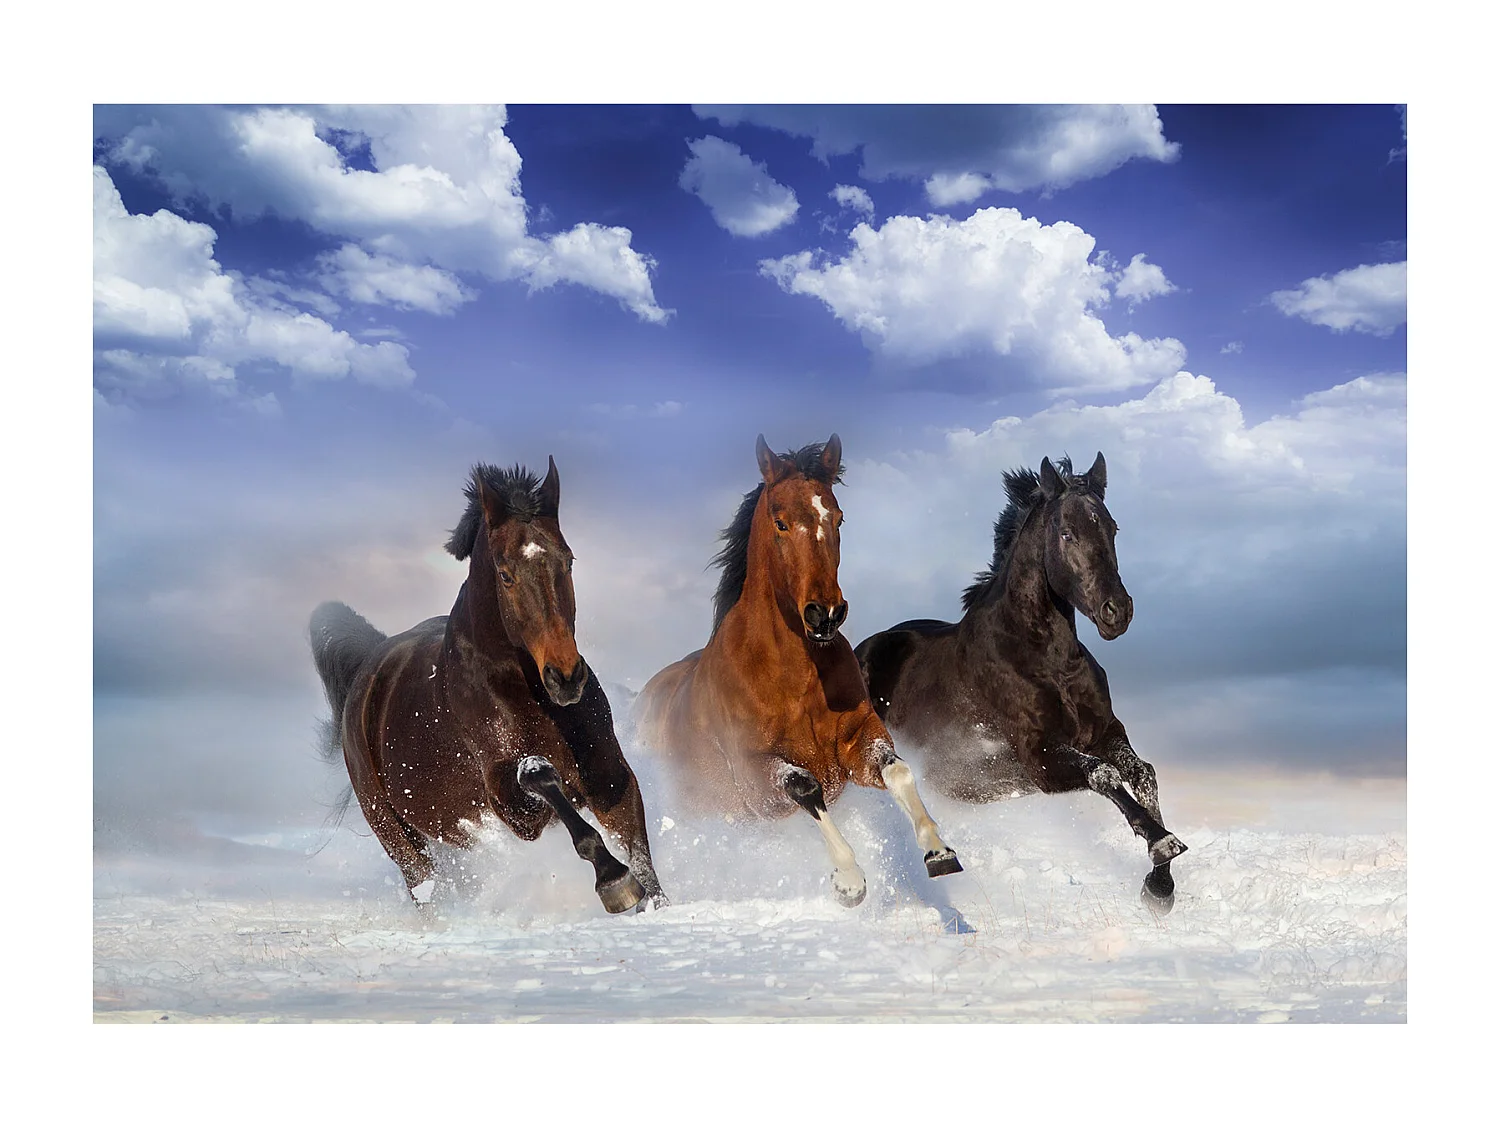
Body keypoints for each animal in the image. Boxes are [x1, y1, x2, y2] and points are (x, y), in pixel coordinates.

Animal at [308, 458, 666, 915]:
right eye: (505, 574)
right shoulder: (512, 807)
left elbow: (640, 854)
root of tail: (367, 673)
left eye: (568, 561)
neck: (524, 691)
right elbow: (541, 777)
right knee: (425, 887)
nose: (566, 677)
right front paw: (613, 881)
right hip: (396, 834)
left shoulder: (608, 774)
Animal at [634, 434, 961, 907]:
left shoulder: (856, 740)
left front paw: (939, 852)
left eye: (839, 518)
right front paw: (849, 882)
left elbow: (897, 771)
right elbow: (806, 788)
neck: (795, 677)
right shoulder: (755, 778)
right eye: (781, 523)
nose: (825, 614)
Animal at [853, 453, 1187, 913]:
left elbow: (1143, 773)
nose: (1116, 611)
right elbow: (1103, 775)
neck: (1046, 661)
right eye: (1066, 533)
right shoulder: (1037, 756)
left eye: (1112, 528)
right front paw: (1161, 843)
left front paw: (1160, 885)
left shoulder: (1104, 732)